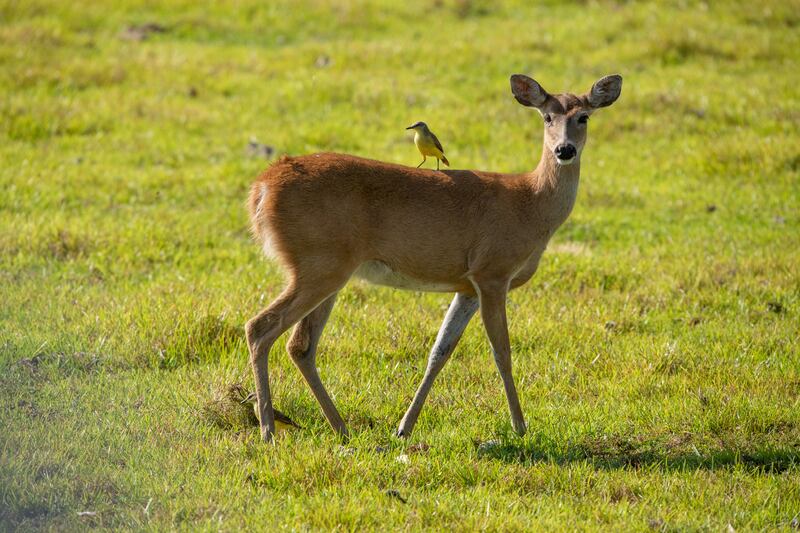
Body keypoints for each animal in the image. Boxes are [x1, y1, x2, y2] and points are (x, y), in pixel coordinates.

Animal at [247, 74, 620, 440]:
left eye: (583, 117)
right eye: (547, 117)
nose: (564, 149)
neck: (531, 203)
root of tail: (261, 187)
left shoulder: (467, 286)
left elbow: (439, 351)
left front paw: (404, 427)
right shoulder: (493, 271)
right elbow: (502, 351)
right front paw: (520, 427)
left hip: (329, 269)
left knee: (300, 345)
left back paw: (341, 429)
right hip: (318, 263)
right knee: (260, 327)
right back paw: (268, 430)